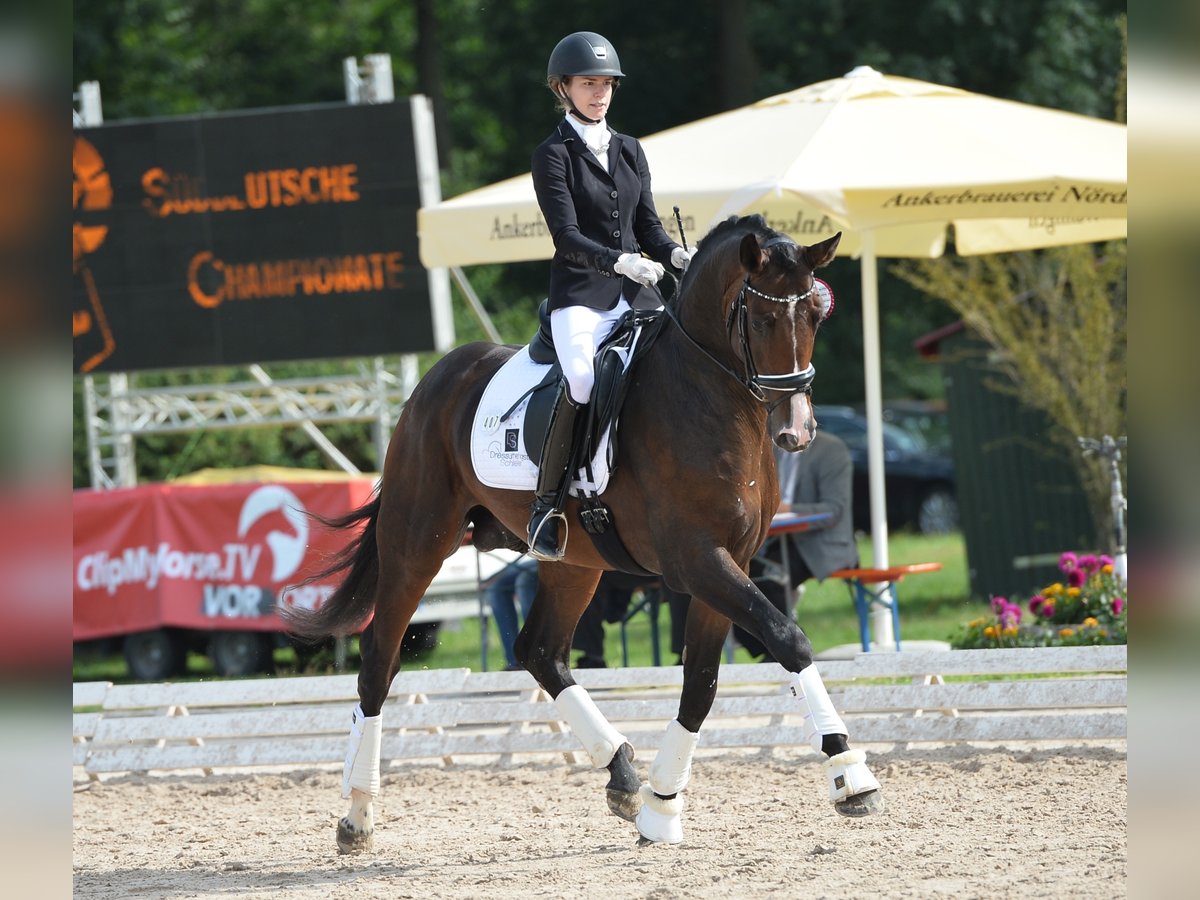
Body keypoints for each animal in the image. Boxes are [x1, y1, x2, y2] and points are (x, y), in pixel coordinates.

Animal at [280, 213, 883, 854]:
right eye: (765, 319)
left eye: (816, 314)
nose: (797, 431)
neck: (707, 397)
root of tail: (436, 377)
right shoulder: (697, 561)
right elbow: (787, 638)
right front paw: (851, 776)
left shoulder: (731, 561)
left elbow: (702, 681)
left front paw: (662, 807)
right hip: (417, 544)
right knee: (380, 658)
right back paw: (357, 814)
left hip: (572, 561)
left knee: (538, 650)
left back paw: (622, 773)